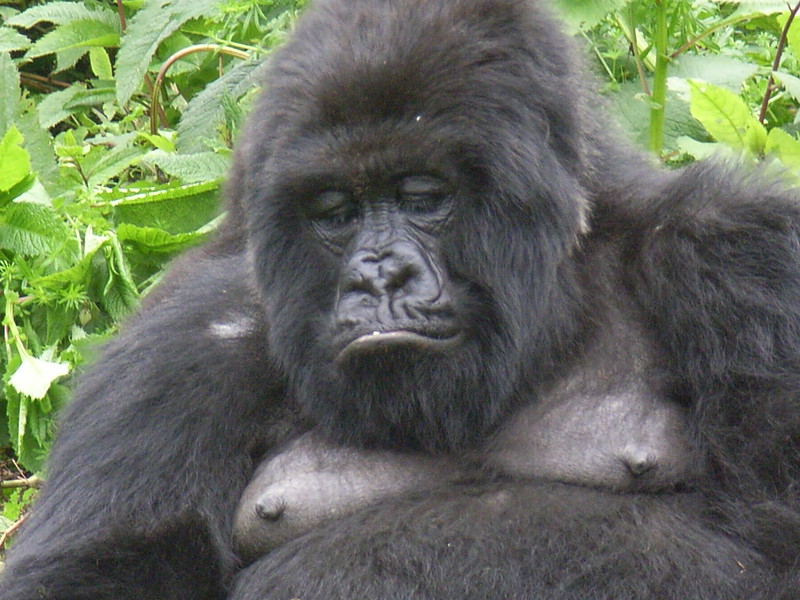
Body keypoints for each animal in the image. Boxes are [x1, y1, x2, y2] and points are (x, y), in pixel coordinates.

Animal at [4, 0, 800, 596]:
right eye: (335, 211)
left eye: (422, 196)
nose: (378, 279)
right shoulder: (181, 343)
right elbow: (98, 570)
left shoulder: (742, 259)